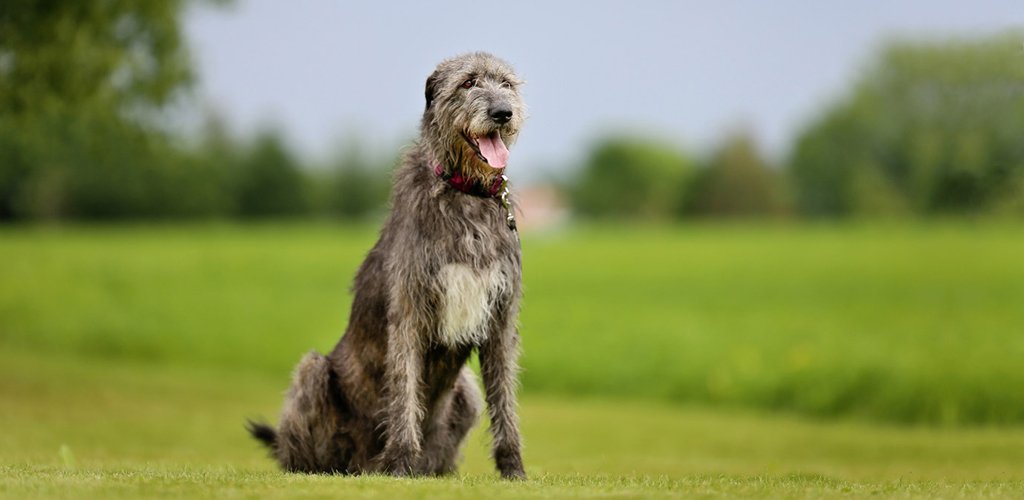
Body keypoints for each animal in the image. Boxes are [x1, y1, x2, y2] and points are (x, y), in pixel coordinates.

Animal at [247, 51, 528, 479]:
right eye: (468, 82)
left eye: (507, 84)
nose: (502, 112)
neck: (465, 193)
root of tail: (360, 464)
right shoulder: (409, 311)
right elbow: (404, 391)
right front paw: (400, 463)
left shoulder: (501, 316)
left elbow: (505, 400)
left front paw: (514, 470)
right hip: (313, 373)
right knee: (303, 445)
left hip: (465, 391)